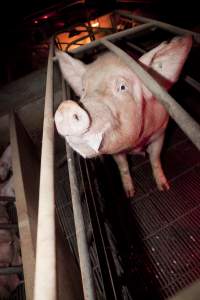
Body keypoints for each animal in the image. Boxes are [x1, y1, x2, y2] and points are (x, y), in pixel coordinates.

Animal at [54, 35, 192, 197]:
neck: (136, 143)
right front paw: (129, 194)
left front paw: (164, 187)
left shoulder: (160, 131)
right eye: (83, 89)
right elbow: (123, 166)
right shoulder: (117, 151)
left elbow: (155, 158)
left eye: (122, 87)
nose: (65, 107)